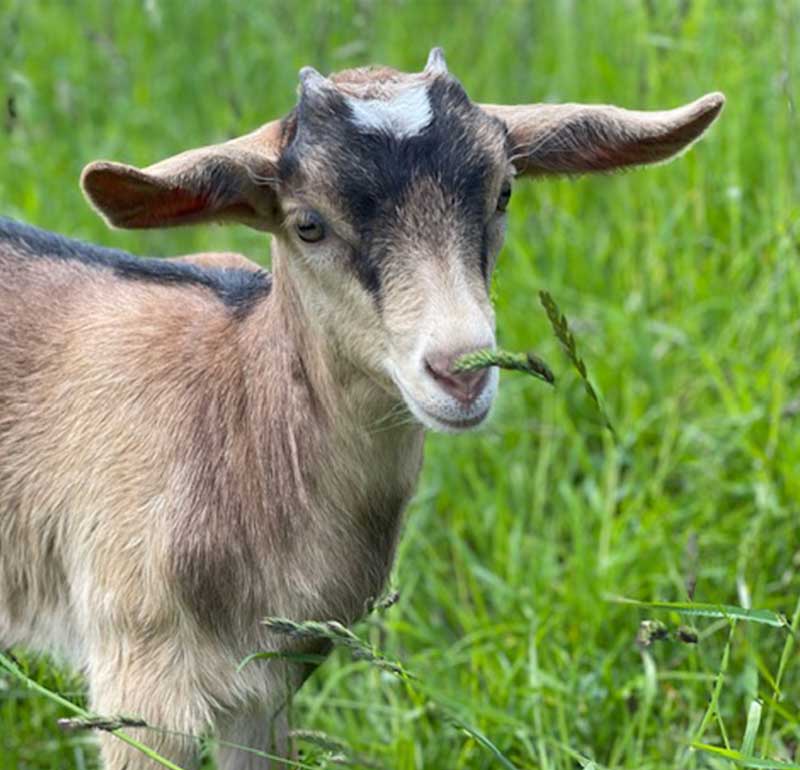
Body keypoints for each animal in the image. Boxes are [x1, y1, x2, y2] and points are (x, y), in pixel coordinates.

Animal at [0, 49, 723, 769]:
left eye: (503, 193)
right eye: (308, 224)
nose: (460, 372)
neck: (238, 412)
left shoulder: (267, 683)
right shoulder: (141, 672)